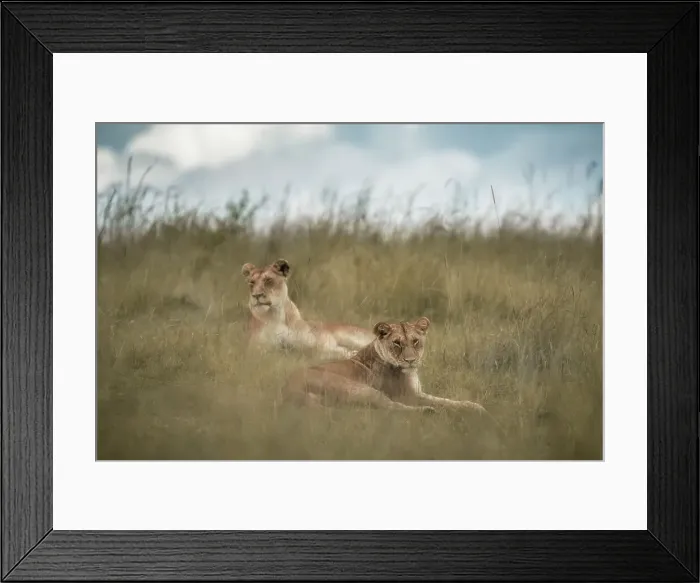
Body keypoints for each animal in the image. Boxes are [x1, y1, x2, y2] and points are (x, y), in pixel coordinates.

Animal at [241, 258, 375, 360]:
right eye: (251, 283)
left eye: (268, 280)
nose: (256, 295)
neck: (277, 314)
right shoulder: (256, 350)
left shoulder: (315, 341)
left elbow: (322, 350)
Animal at [281, 316, 500, 425]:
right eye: (397, 343)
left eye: (415, 341)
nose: (411, 361)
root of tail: (288, 389)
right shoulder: (409, 396)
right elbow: (443, 403)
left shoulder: (418, 392)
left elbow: (449, 400)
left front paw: (475, 406)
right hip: (361, 389)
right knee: (389, 409)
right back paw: (427, 412)